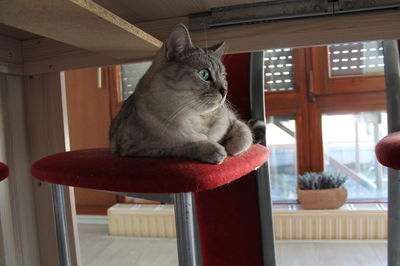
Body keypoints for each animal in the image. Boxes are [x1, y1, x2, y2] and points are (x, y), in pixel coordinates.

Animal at [109, 23, 258, 164]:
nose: (225, 91)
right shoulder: (140, 148)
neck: (198, 118)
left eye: (223, 76)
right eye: (204, 74)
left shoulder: (231, 118)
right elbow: (184, 146)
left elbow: (244, 134)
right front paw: (215, 149)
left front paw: (230, 147)